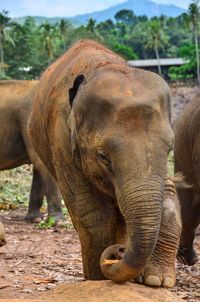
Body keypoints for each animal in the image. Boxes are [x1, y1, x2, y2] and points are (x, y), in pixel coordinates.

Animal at [28, 39, 181, 286]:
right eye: (102, 156)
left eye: (169, 149)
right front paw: (100, 280)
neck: (105, 66)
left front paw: (156, 280)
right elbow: (94, 214)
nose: (119, 252)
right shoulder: (61, 140)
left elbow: (168, 193)